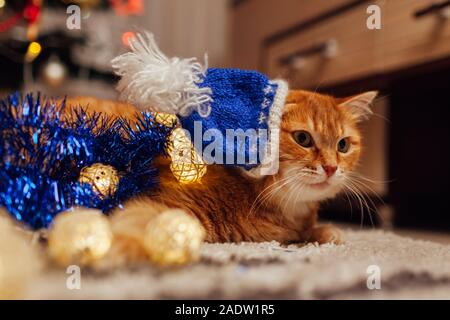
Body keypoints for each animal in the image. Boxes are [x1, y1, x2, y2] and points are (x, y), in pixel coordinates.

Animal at [66, 89, 376, 262]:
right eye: (303, 138)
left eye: (343, 145)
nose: (331, 167)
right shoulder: (162, 201)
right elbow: (138, 225)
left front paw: (324, 231)